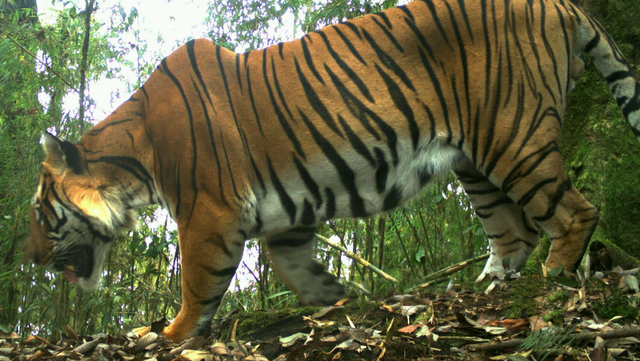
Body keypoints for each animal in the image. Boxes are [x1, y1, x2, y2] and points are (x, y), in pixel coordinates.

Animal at [23, 0, 636, 340]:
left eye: (38, 210)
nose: (28, 259)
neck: (136, 160)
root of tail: (556, 4)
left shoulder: (208, 213)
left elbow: (198, 281)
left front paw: (172, 334)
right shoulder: (282, 214)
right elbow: (293, 265)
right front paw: (338, 296)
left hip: (514, 136)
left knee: (573, 212)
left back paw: (553, 275)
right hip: (477, 163)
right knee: (512, 233)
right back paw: (485, 286)